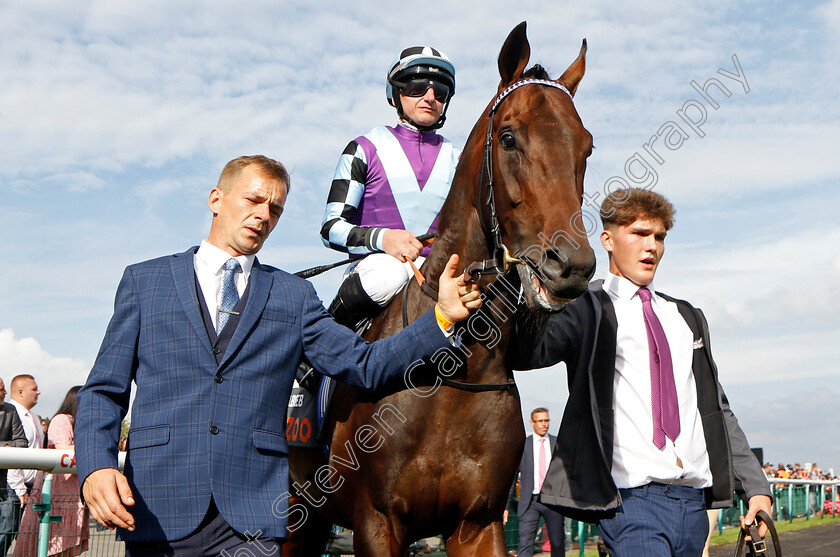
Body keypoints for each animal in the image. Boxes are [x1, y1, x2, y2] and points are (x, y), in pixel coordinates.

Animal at [288, 21, 596, 556]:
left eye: (586, 147)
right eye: (509, 138)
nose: (570, 266)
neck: (452, 368)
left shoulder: (480, 522)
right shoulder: (377, 523)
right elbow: (334, 222)